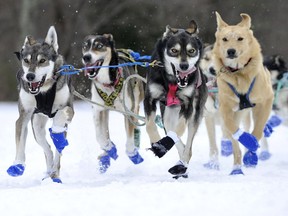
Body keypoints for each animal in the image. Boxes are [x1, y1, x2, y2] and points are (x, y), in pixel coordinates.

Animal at [7, 26, 73, 183]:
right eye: (26, 60)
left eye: (42, 60)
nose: (30, 76)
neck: (44, 90)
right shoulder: (24, 115)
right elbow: (20, 142)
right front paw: (18, 164)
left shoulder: (69, 108)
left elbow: (61, 113)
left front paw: (57, 127)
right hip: (37, 127)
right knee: (48, 149)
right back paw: (49, 173)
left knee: (58, 150)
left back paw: (55, 172)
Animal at [81, 33, 144, 173]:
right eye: (85, 46)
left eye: (99, 46)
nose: (86, 57)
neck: (108, 84)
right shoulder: (98, 110)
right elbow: (100, 136)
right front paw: (109, 148)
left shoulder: (128, 111)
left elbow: (129, 138)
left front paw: (133, 154)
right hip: (105, 112)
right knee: (105, 132)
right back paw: (106, 156)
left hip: (135, 102)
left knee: (135, 124)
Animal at [145, 20, 208, 179]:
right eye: (174, 50)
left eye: (191, 51)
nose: (184, 66)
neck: (172, 81)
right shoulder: (149, 99)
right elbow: (150, 125)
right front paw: (157, 143)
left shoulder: (187, 104)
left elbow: (179, 129)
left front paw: (164, 145)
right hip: (167, 115)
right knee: (175, 135)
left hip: (195, 115)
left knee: (188, 145)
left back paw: (181, 165)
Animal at [213, 11, 274, 175]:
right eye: (225, 39)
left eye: (240, 38)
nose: (231, 51)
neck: (238, 72)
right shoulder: (226, 107)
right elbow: (233, 129)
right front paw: (245, 139)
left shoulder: (266, 101)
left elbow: (258, 130)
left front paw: (251, 151)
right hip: (238, 113)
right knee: (235, 143)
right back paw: (236, 168)